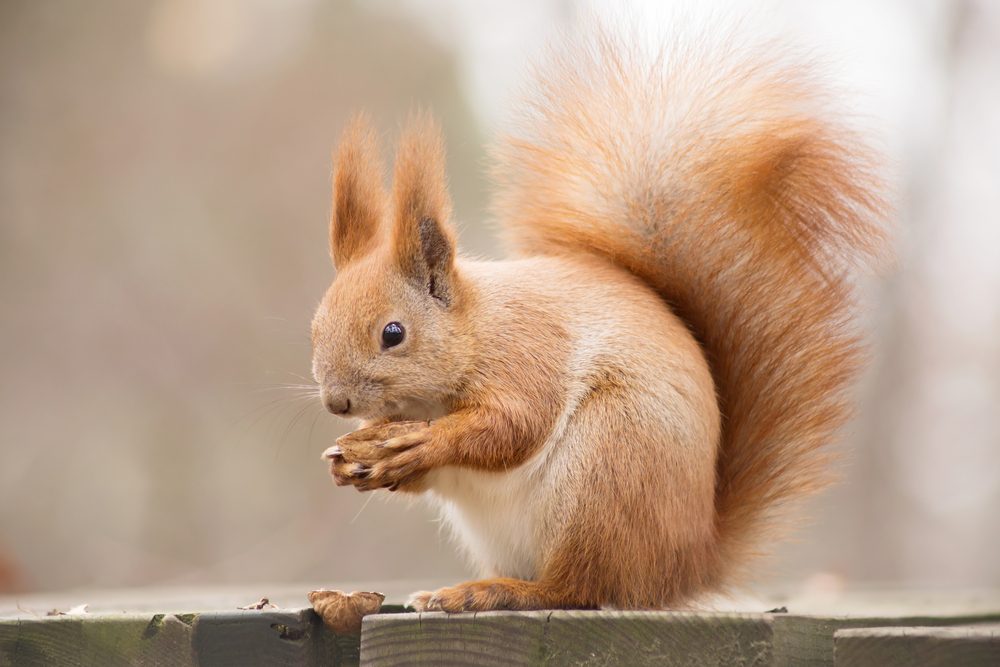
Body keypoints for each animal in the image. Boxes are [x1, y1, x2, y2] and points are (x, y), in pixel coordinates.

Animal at [310, 28, 884, 612]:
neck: (473, 331)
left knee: (578, 587)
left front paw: (423, 444)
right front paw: (349, 458)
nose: (337, 403)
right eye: (315, 327)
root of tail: (687, 564)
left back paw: (494, 592)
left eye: (393, 333)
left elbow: (515, 425)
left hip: (607, 471)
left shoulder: (526, 354)